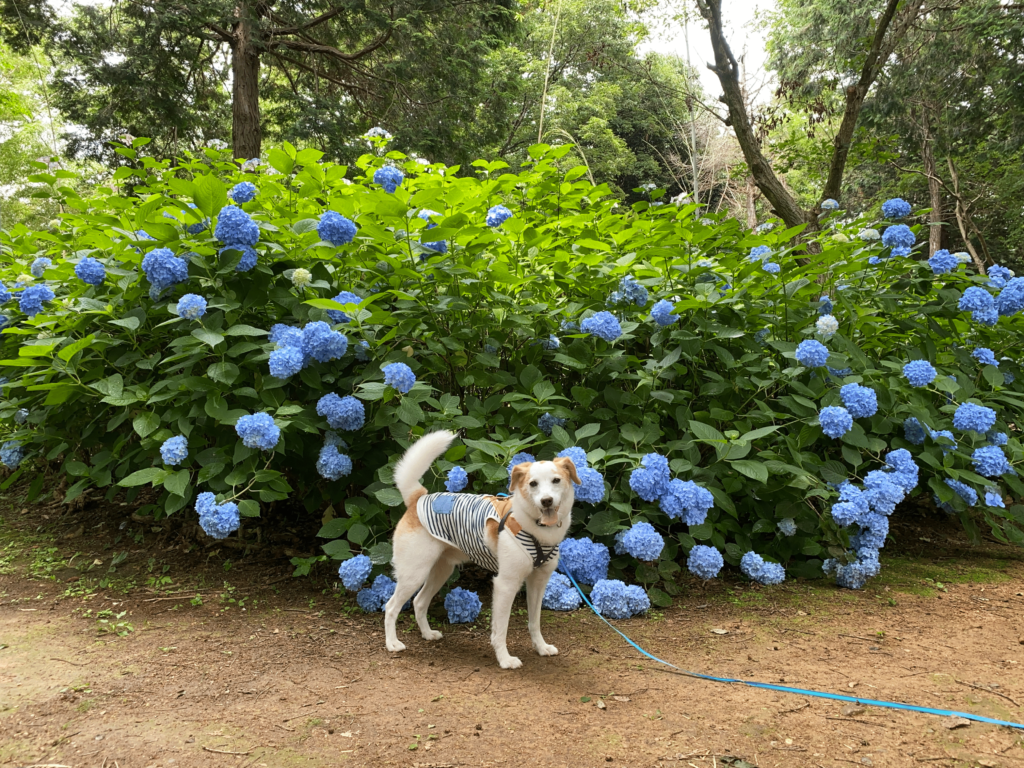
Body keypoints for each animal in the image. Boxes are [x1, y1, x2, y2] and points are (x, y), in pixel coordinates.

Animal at [385, 430, 581, 671]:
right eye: (533, 483)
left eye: (556, 480)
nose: (546, 501)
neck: (535, 528)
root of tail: (418, 497)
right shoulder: (506, 585)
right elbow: (501, 628)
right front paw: (505, 659)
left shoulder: (538, 582)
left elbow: (534, 621)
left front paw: (541, 647)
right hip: (414, 573)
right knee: (391, 607)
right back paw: (392, 643)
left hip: (440, 571)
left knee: (419, 601)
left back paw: (428, 634)